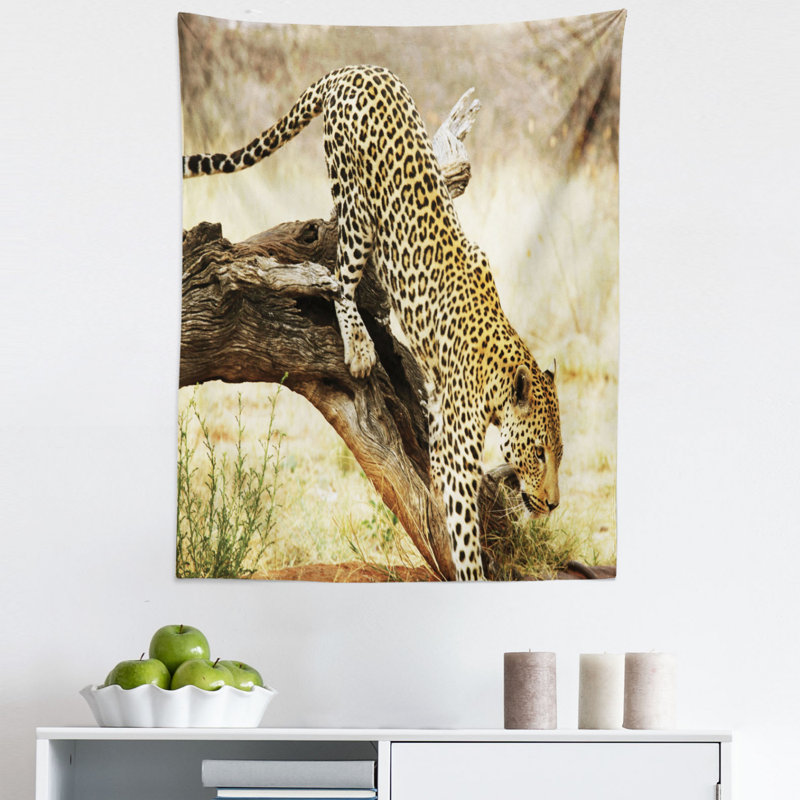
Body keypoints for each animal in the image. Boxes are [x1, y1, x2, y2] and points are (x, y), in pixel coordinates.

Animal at [183, 65, 562, 580]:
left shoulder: (442, 422)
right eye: (539, 452)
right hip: (355, 205)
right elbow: (463, 534)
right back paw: (360, 346)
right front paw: (471, 573)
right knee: (338, 277)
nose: (554, 504)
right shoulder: (457, 452)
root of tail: (351, 69)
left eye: (560, 452)